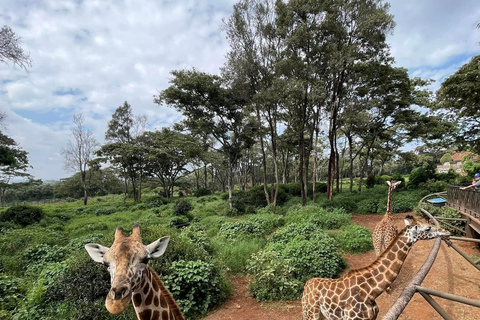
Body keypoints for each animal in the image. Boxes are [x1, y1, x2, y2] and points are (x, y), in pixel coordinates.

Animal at [304, 218, 450, 320]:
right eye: (428, 228)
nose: (446, 231)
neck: (371, 291)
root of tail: (307, 284)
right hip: (310, 313)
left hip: (323, 316)